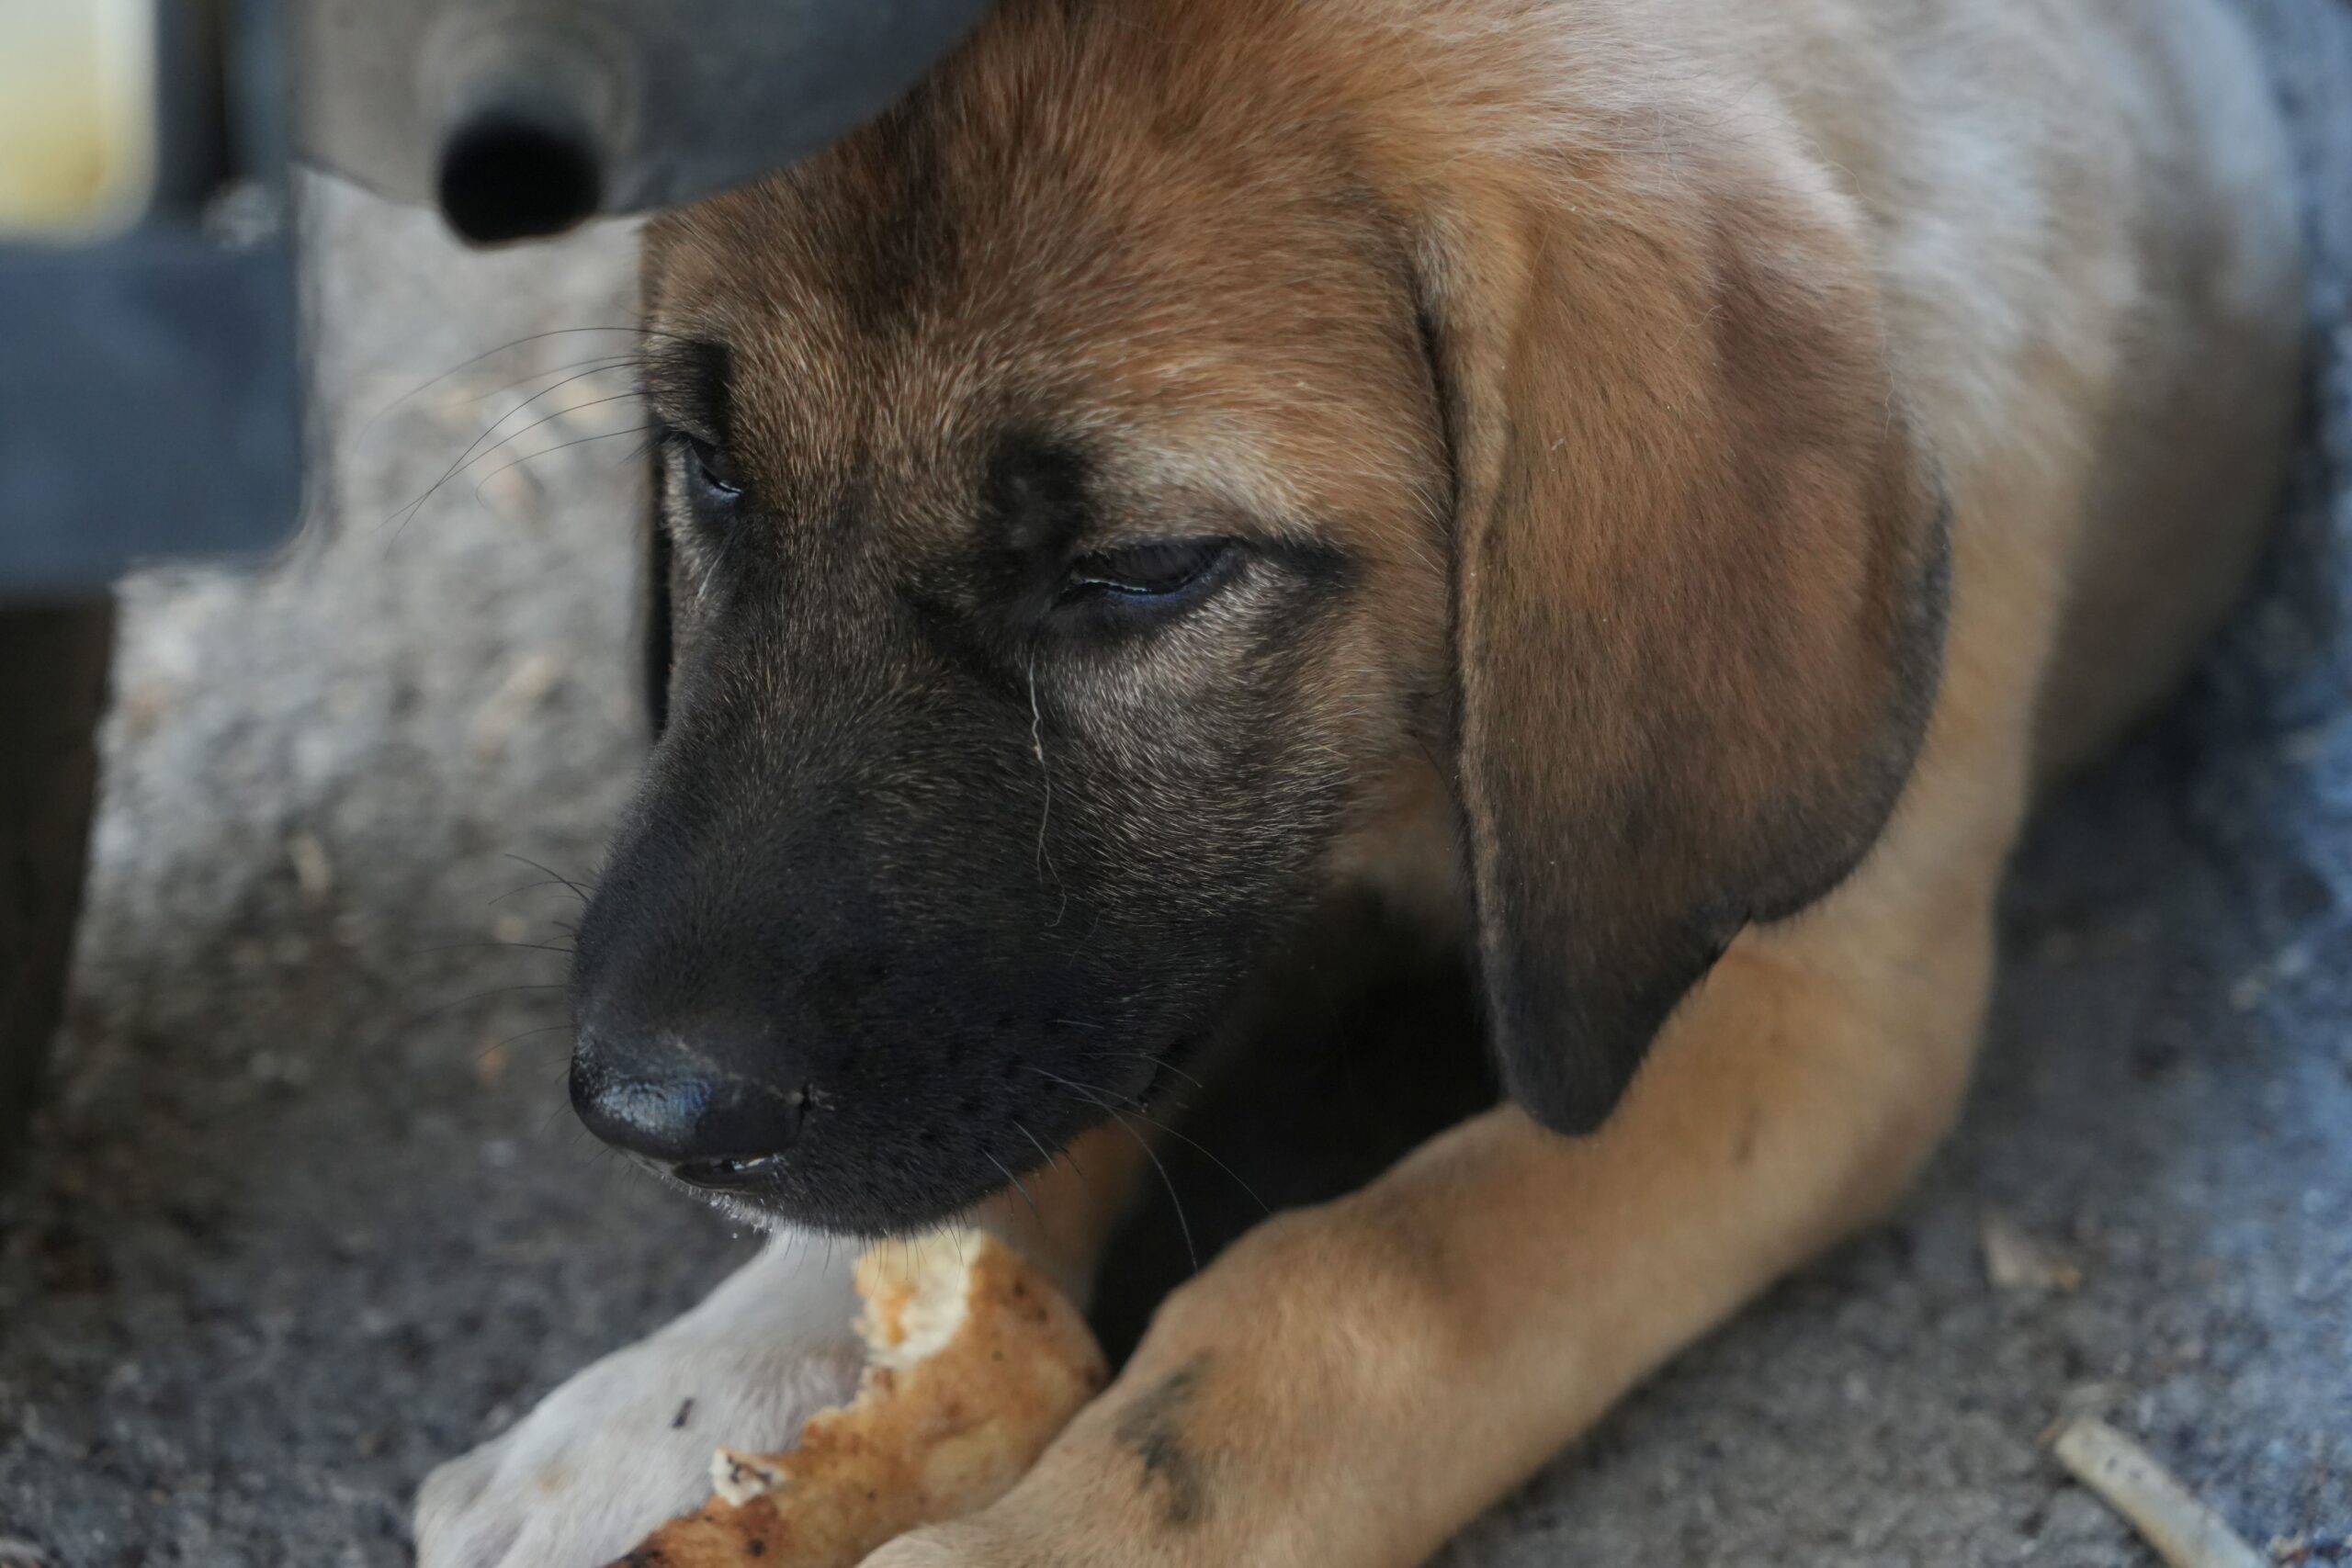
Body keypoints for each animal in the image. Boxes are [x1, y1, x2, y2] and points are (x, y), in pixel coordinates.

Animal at [413, 0, 2304, 1561]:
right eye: (710, 471)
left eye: (1144, 569)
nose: (646, 1111)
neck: (1404, 792)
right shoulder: (1187, 929)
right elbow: (974, 1160)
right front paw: (712, 1386)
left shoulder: (1809, 1018)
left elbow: (1375, 1277)